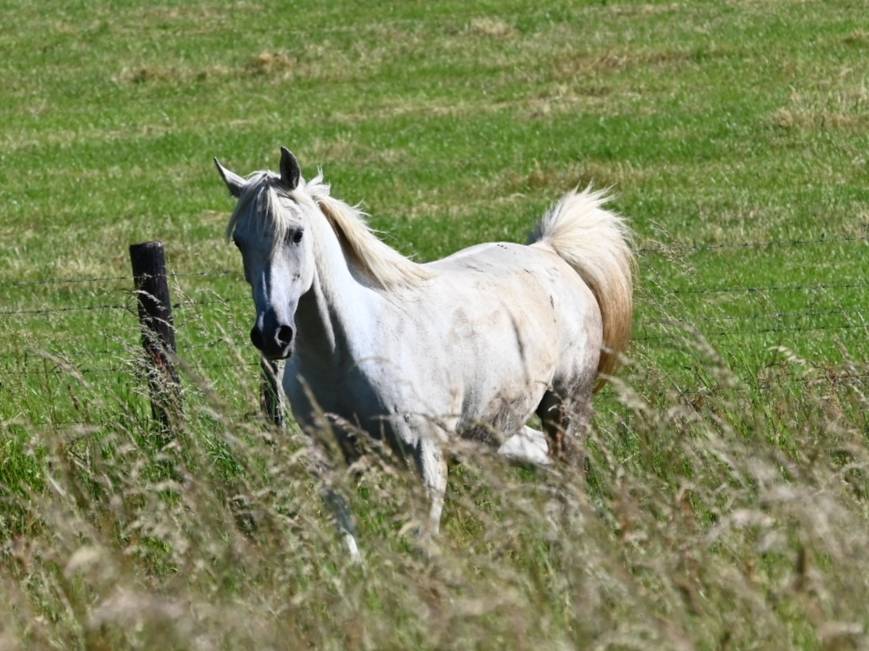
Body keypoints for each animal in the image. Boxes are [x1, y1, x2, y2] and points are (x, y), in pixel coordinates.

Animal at [214, 147, 634, 558]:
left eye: (296, 234)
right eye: (240, 241)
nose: (273, 335)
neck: (344, 355)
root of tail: (549, 252)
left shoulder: (426, 457)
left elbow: (424, 546)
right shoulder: (329, 457)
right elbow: (348, 540)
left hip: (566, 406)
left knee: (569, 476)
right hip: (492, 429)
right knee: (544, 460)